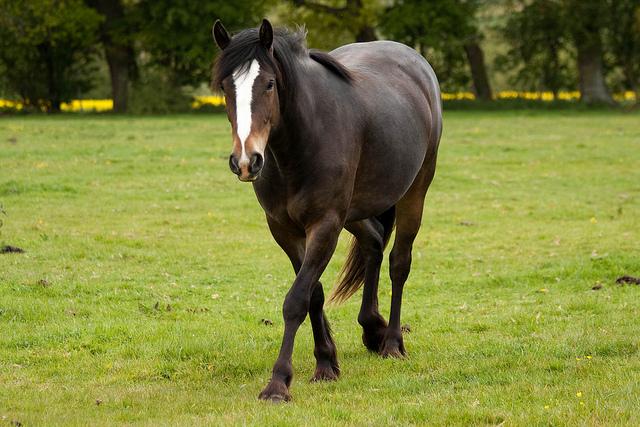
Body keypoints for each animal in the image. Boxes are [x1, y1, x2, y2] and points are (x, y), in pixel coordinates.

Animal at [211, 19, 442, 402]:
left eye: (269, 83)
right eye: (226, 87)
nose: (246, 161)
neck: (301, 143)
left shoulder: (325, 224)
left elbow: (296, 300)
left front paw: (278, 382)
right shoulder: (285, 230)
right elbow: (313, 294)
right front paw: (325, 363)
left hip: (414, 192)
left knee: (399, 262)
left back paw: (392, 342)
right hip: (355, 212)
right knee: (373, 243)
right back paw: (372, 328)